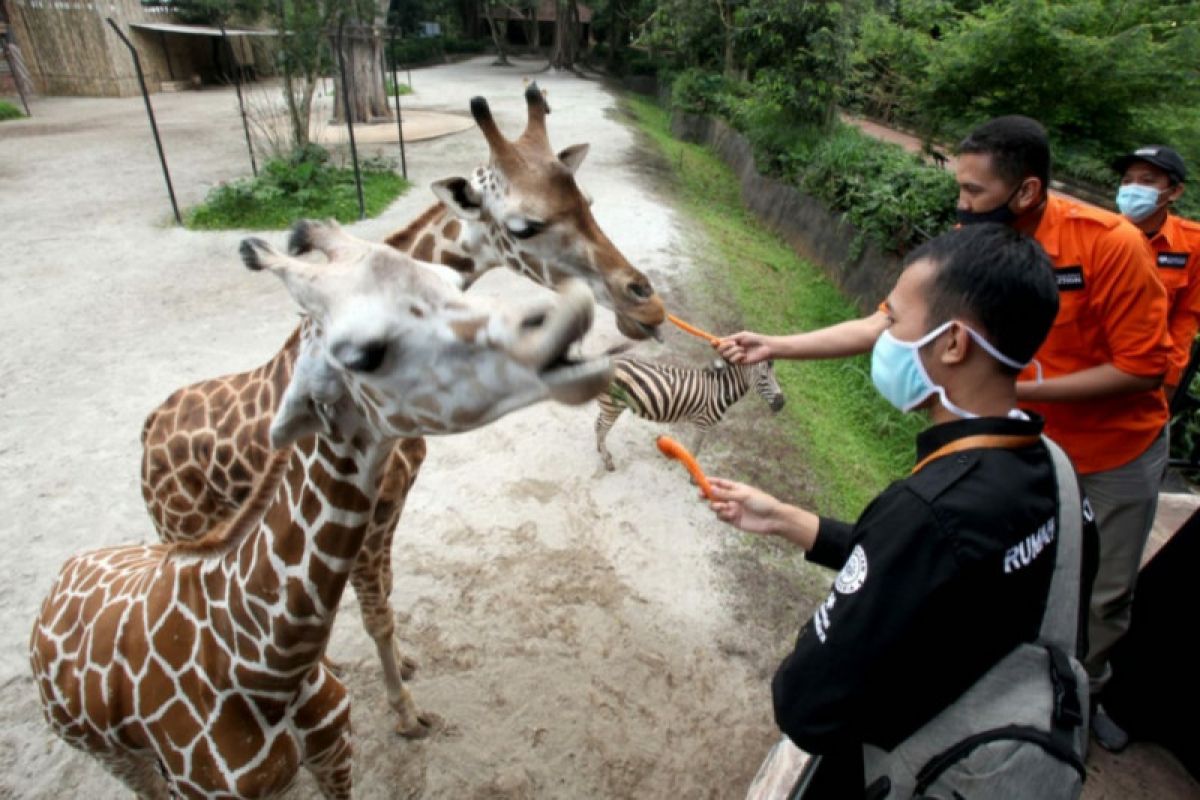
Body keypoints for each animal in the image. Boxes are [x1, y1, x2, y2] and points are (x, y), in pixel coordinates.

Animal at [30, 220, 609, 800]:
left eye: (450, 280)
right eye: (362, 353)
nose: (571, 313)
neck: (263, 672)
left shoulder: (334, 751)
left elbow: (384, 604)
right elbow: (377, 611)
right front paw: (407, 713)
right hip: (118, 730)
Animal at [140, 82, 667, 738]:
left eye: (587, 200)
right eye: (524, 226)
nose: (646, 308)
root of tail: (149, 430)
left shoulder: (392, 508)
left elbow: (384, 600)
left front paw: (407, 666)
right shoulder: (369, 516)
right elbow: (375, 611)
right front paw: (406, 712)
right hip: (181, 527)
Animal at [595, 355, 782, 472]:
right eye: (764, 377)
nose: (782, 403)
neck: (720, 390)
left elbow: (693, 448)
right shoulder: (704, 423)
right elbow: (696, 449)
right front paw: (692, 475)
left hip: (608, 406)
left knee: (598, 425)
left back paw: (601, 451)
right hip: (612, 406)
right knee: (603, 429)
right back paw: (607, 462)